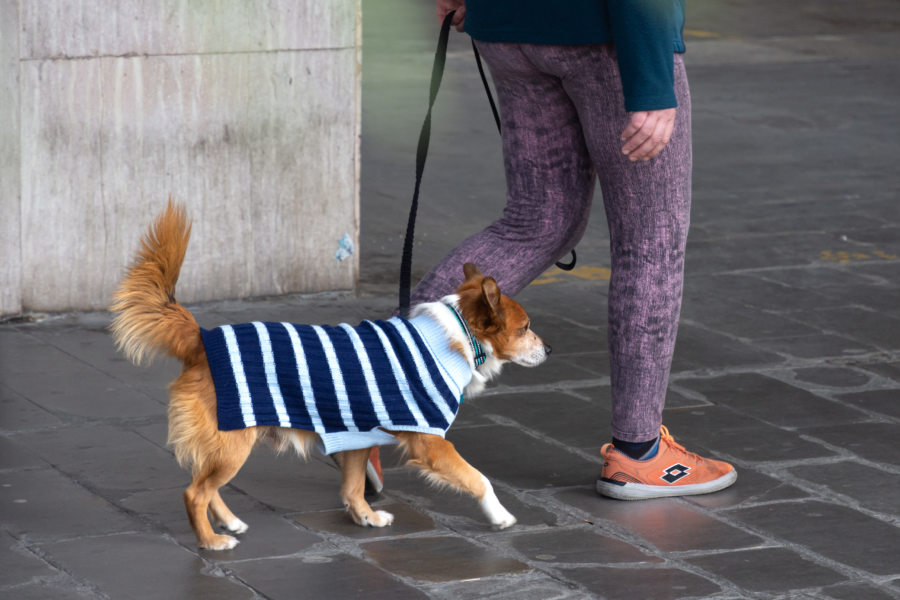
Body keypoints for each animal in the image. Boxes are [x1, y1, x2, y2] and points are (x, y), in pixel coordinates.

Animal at [110, 203, 552, 548]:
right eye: (526, 327)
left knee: (206, 484)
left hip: (227, 445)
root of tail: (202, 339)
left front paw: (366, 516)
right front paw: (500, 515)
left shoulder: (355, 435)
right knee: (194, 492)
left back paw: (229, 522)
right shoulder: (431, 444)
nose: (549, 350)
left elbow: (353, 485)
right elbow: (479, 480)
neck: (455, 336)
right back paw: (211, 541)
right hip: (233, 444)